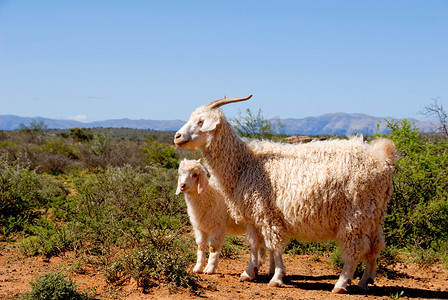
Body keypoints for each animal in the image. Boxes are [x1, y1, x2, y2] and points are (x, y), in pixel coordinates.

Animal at [173, 95, 398, 292]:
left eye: (201, 121)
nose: (177, 137)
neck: (245, 163)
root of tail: (382, 158)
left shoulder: (267, 213)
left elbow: (275, 246)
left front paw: (277, 277)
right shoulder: (253, 216)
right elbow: (255, 245)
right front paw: (249, 272)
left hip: (355, 216)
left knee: (353, 251)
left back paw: (341, 284)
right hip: (374, 215)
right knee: (375, 247)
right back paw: (364, 281)